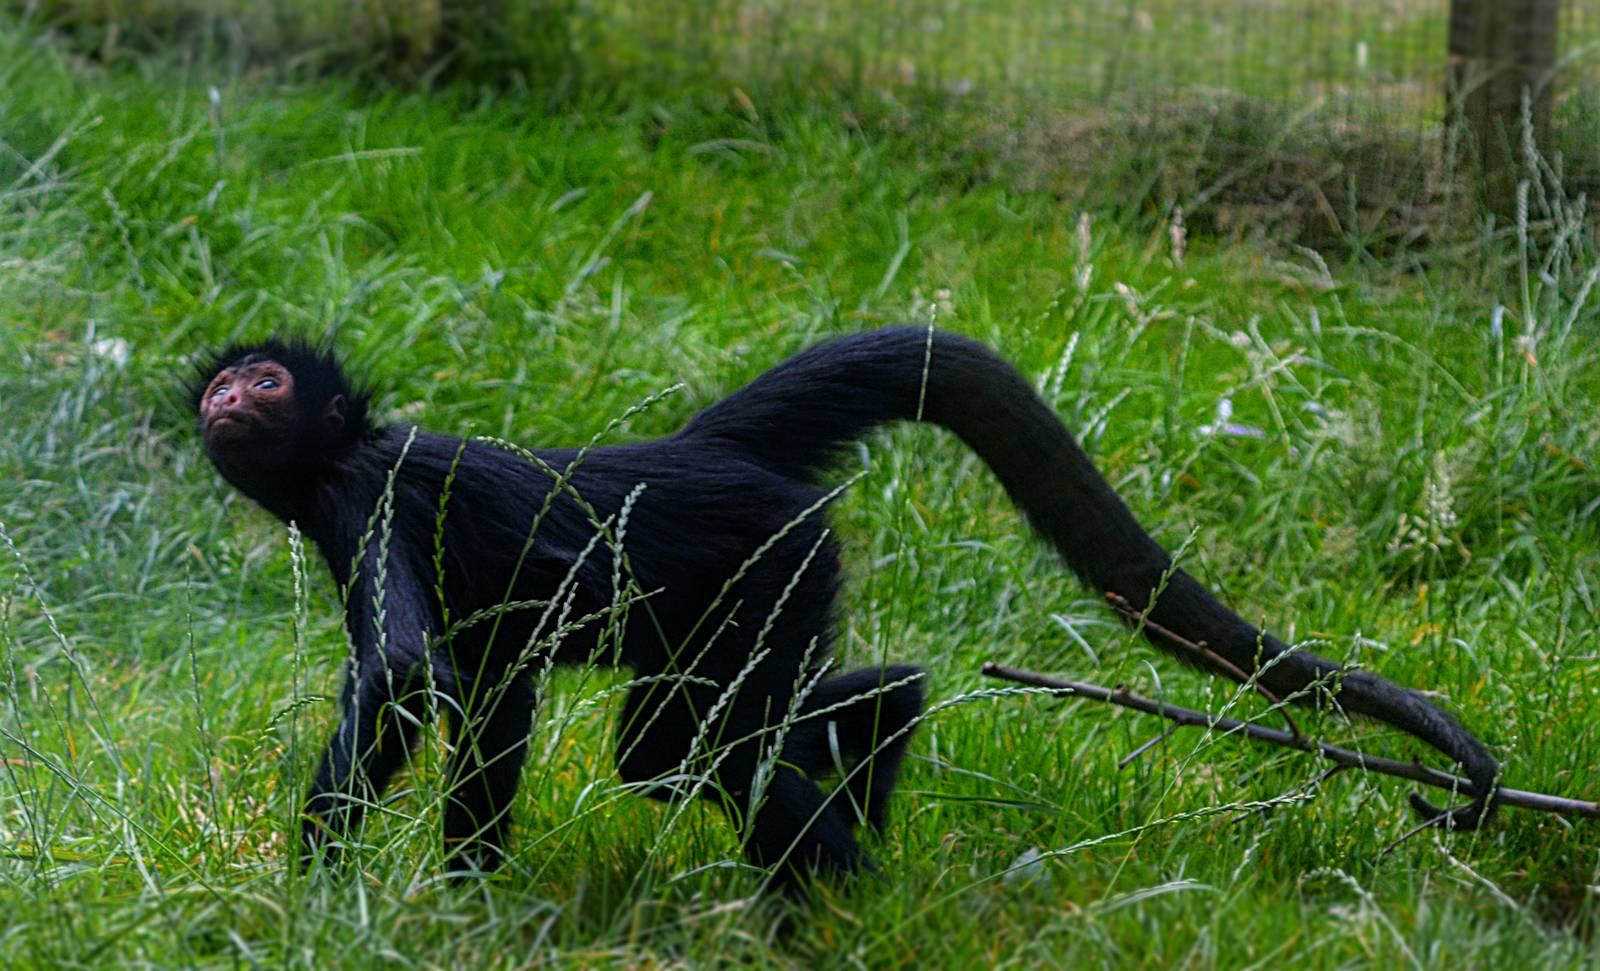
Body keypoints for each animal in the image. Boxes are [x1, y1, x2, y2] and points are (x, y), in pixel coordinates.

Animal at [193, 326, 1498, 889]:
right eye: (226, 381)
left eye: (264, 378)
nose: (222, 396)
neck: (342, 455)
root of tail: (701, 446)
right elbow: (490, 699)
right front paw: (463, 902)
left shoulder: (363, 492)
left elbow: (408, 674)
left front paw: (313, 902)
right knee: (737, 730)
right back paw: (876, 753)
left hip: (778, 554)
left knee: (693, 751)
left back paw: (848, 891)